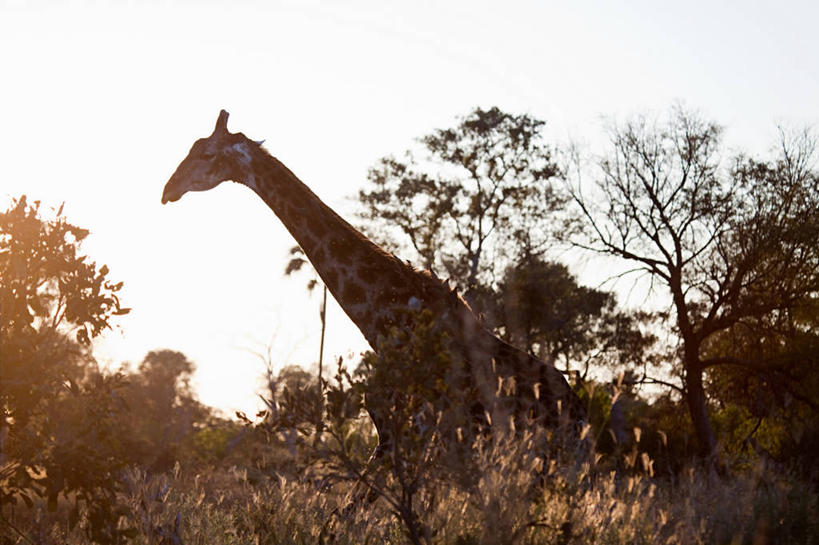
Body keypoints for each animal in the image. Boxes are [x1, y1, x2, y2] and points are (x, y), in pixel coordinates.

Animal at [162, 112, 584, 462]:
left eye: (206, 154)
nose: (168, 190)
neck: (382, 314)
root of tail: (579, 410)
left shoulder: (406, 430)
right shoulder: (398, 433)